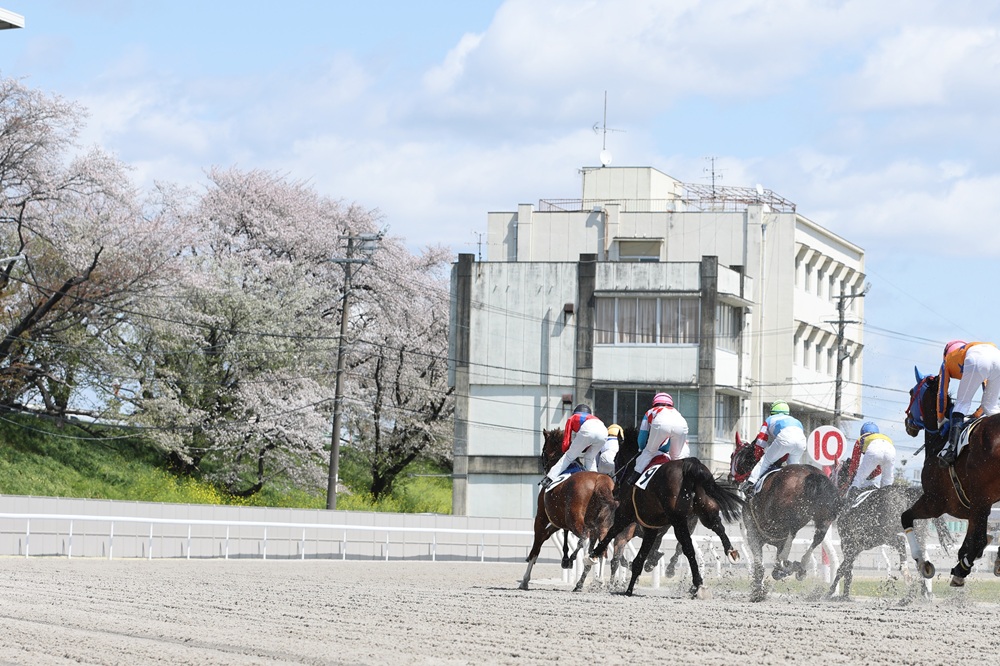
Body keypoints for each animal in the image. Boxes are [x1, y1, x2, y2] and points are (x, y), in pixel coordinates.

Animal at [519, 428, 619, 591]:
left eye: (544, 450)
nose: (544, 466)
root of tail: (600, 481)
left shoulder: (542, 517)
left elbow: (537, 545)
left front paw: (525, 580)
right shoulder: (558, 521)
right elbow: (552, 536)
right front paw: (566, 559)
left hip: (575, 520)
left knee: (585, 539)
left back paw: (586, 565)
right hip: (603, 525)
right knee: (601, 549)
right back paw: (593, 580)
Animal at [589, 455, 743, 598]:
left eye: (616, 457)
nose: (615, 489)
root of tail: (690, 465)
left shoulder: (625, 516)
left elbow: (612, 534)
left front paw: (592, 555)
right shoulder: (651, 527)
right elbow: (640, 557)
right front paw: (630, 587)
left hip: (678, 520)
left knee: (688, 548)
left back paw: (697, 583)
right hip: (705, 511)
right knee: (717, 526)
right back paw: (731, 552)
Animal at [730, 433, 842, 602]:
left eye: (733, 455)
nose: (731, 478)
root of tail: (813, 475)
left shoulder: (752, 533)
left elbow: (760, 566)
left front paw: (757, 593)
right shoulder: (775, 541)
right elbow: (774, 572)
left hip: (793, 516)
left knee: (792, 532)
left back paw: (788, 563)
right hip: (824, 518)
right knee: (818, 538)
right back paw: (801, 565)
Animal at [902, 367, 1000, 587]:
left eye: (911, 392)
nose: (907, 423)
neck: (941, 439)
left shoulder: (935, 502)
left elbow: (905, 517)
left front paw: (923, 562)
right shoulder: (970, 509)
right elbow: (971, 541)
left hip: (981, 496)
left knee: (980, 538)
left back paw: (960, 570)